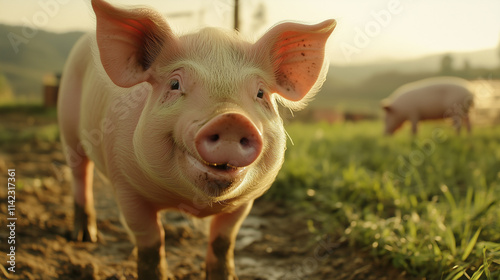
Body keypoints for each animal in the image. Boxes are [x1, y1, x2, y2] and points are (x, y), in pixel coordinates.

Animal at [58, 0, 336, 278]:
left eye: (261, 93)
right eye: (174, 84)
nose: (231, 119)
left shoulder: (245, 201)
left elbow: (224, 240)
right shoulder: (125, 184)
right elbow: (150, 240)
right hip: (69, 129)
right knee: (80, 173)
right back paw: (84, 238)